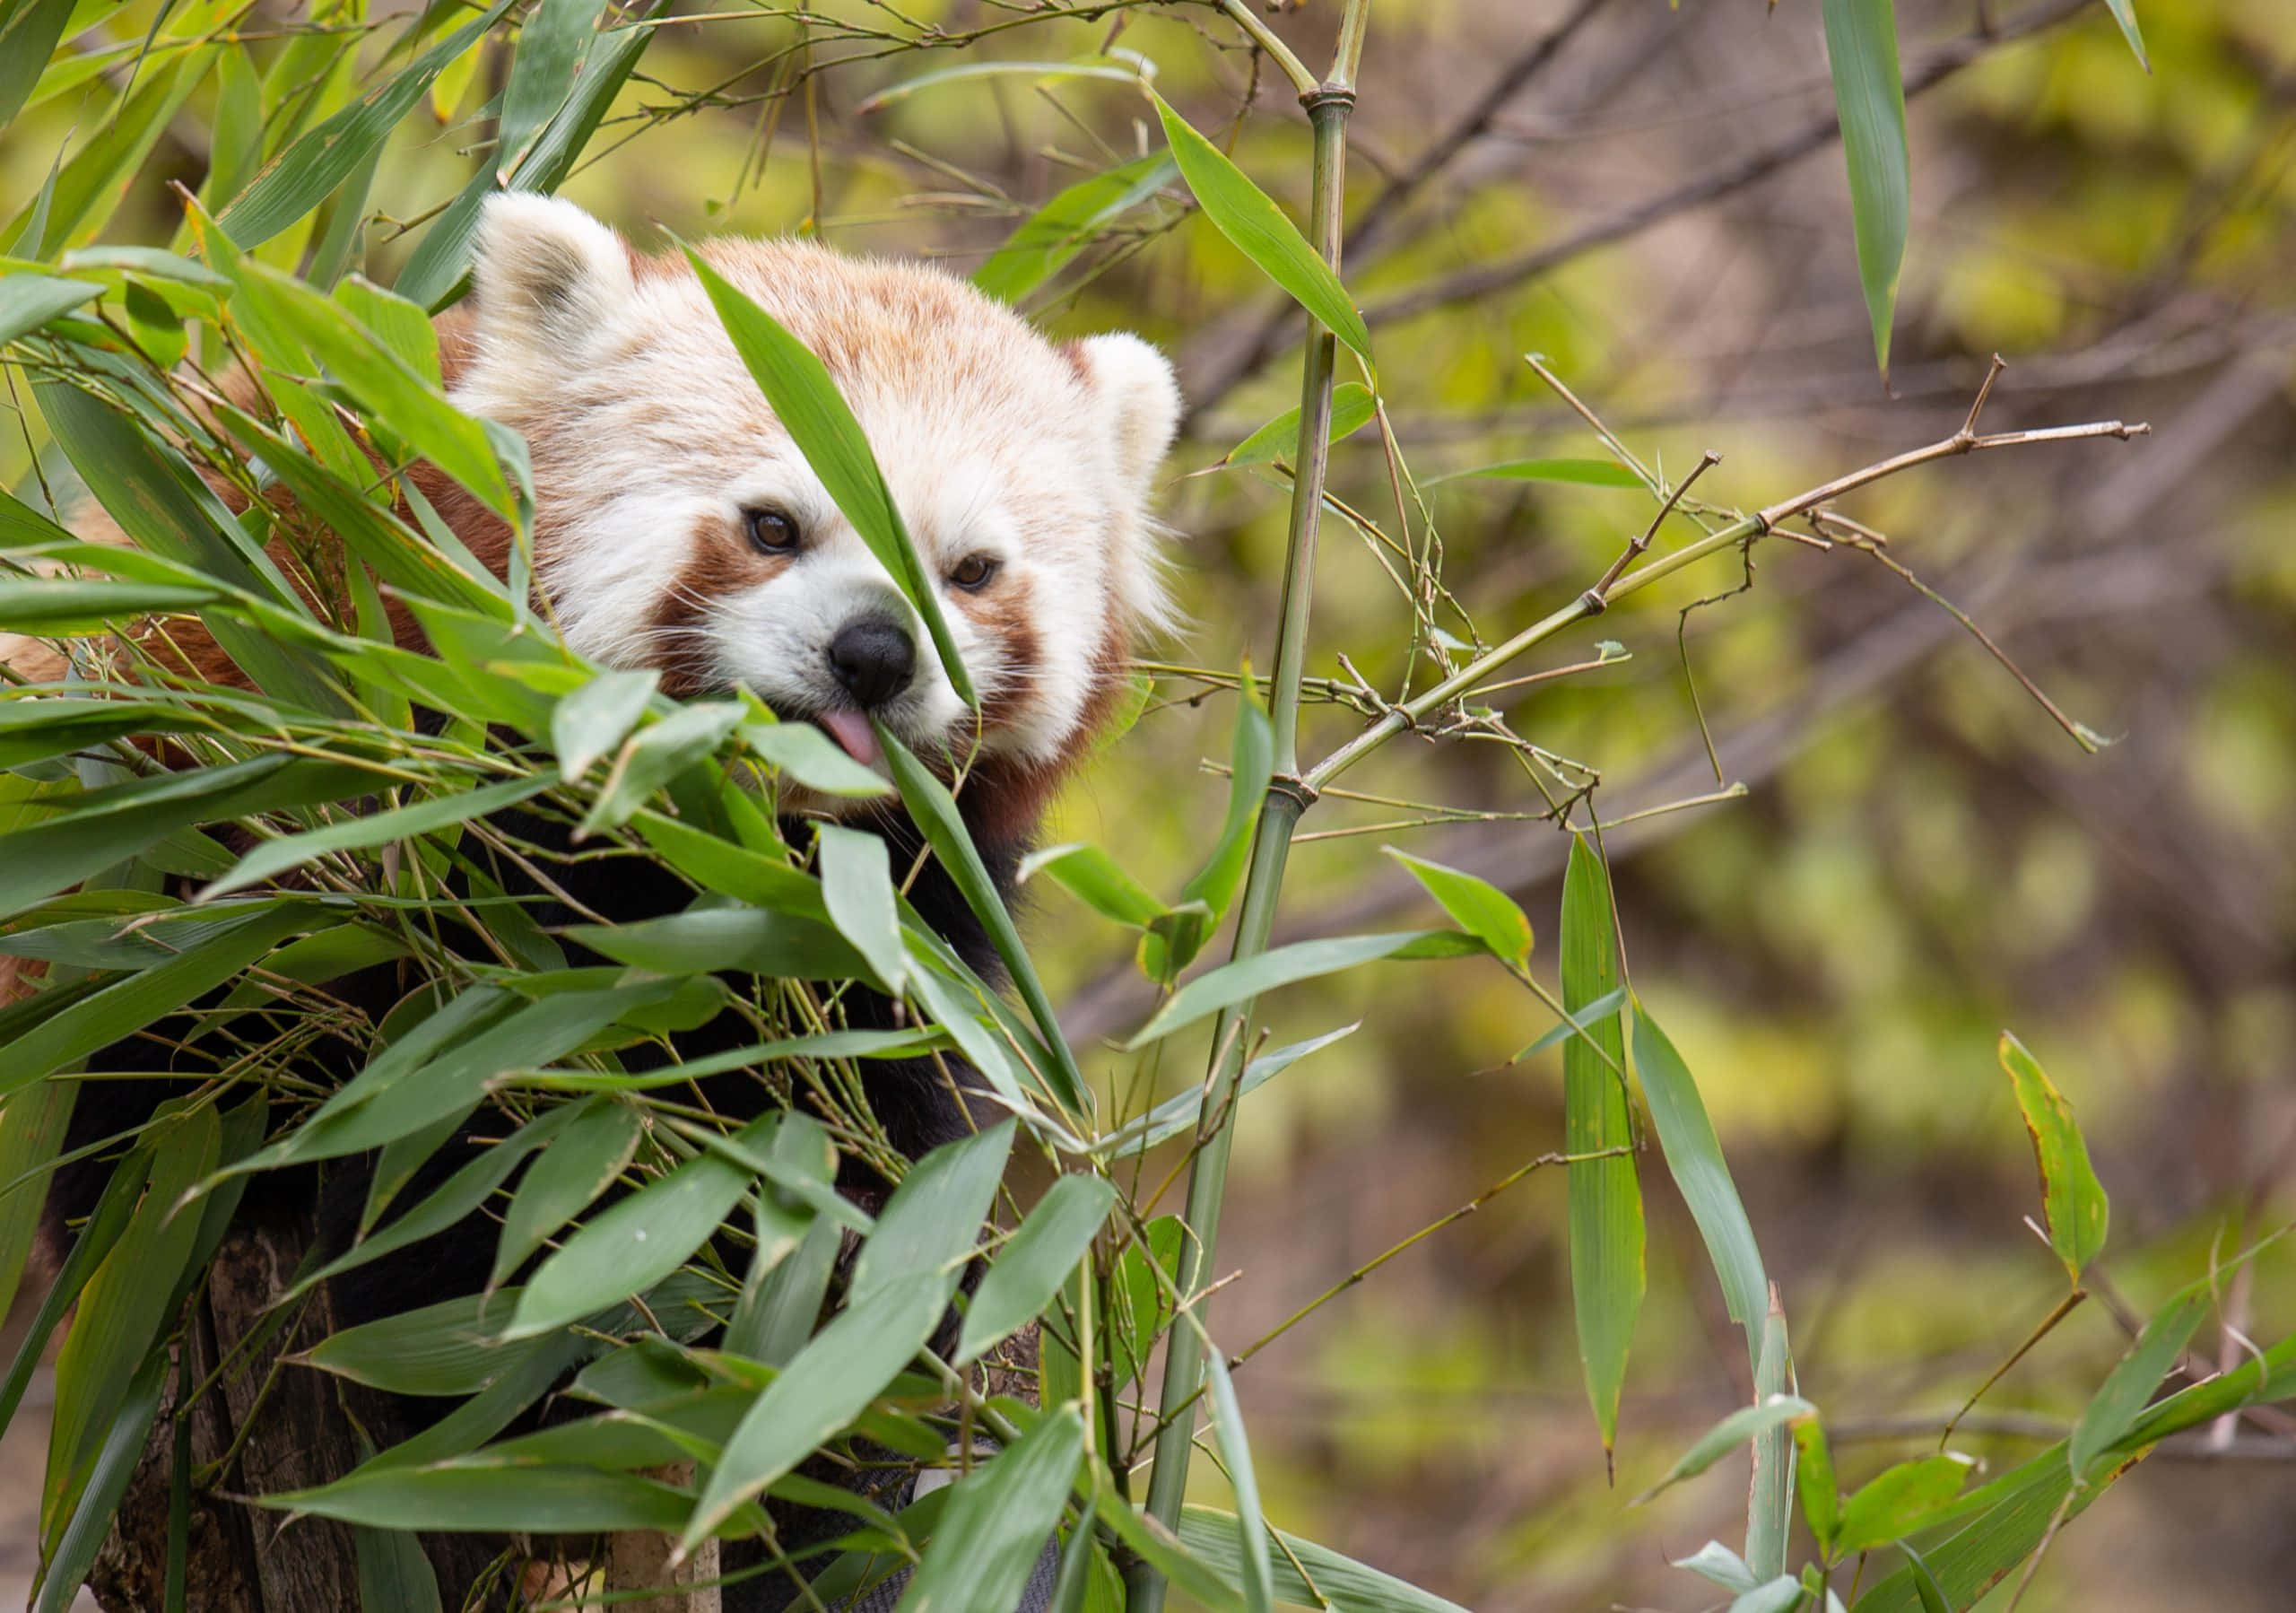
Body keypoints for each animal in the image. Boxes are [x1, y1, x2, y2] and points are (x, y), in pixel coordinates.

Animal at [10, 194, 1182, 1610]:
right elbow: (451, 1137)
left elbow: (878, 1148)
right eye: (773, 525)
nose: (875, 651)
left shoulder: (901, 911)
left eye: (967, 569)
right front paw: (528, 1353)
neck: (723, 858)